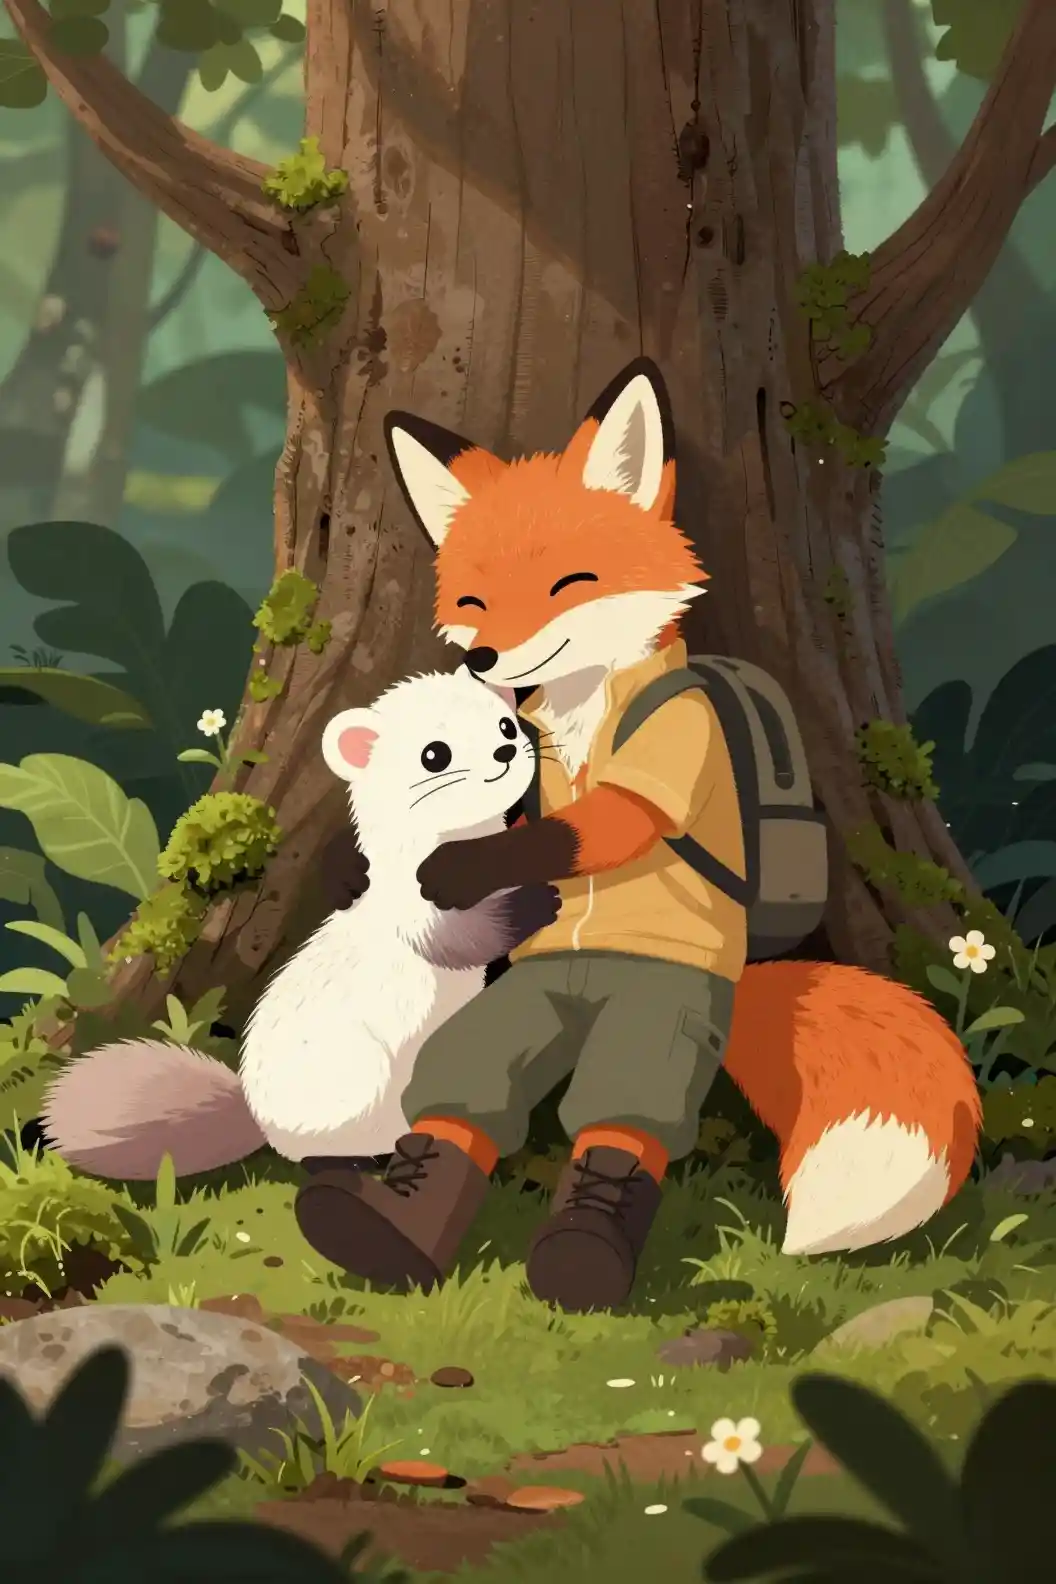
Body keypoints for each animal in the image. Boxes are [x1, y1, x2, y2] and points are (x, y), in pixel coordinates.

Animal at [302, 355, 982, 1290]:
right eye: (474, 598)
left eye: (568, 584)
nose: (482, 659)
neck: (586, 705)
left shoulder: (675, 743)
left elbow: (603, 822)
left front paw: (456, 871)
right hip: (520, 1009)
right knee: (467, 1084)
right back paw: (380, 1227)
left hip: (663, 1015)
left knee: (625, 1109)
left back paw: (584, 1251)